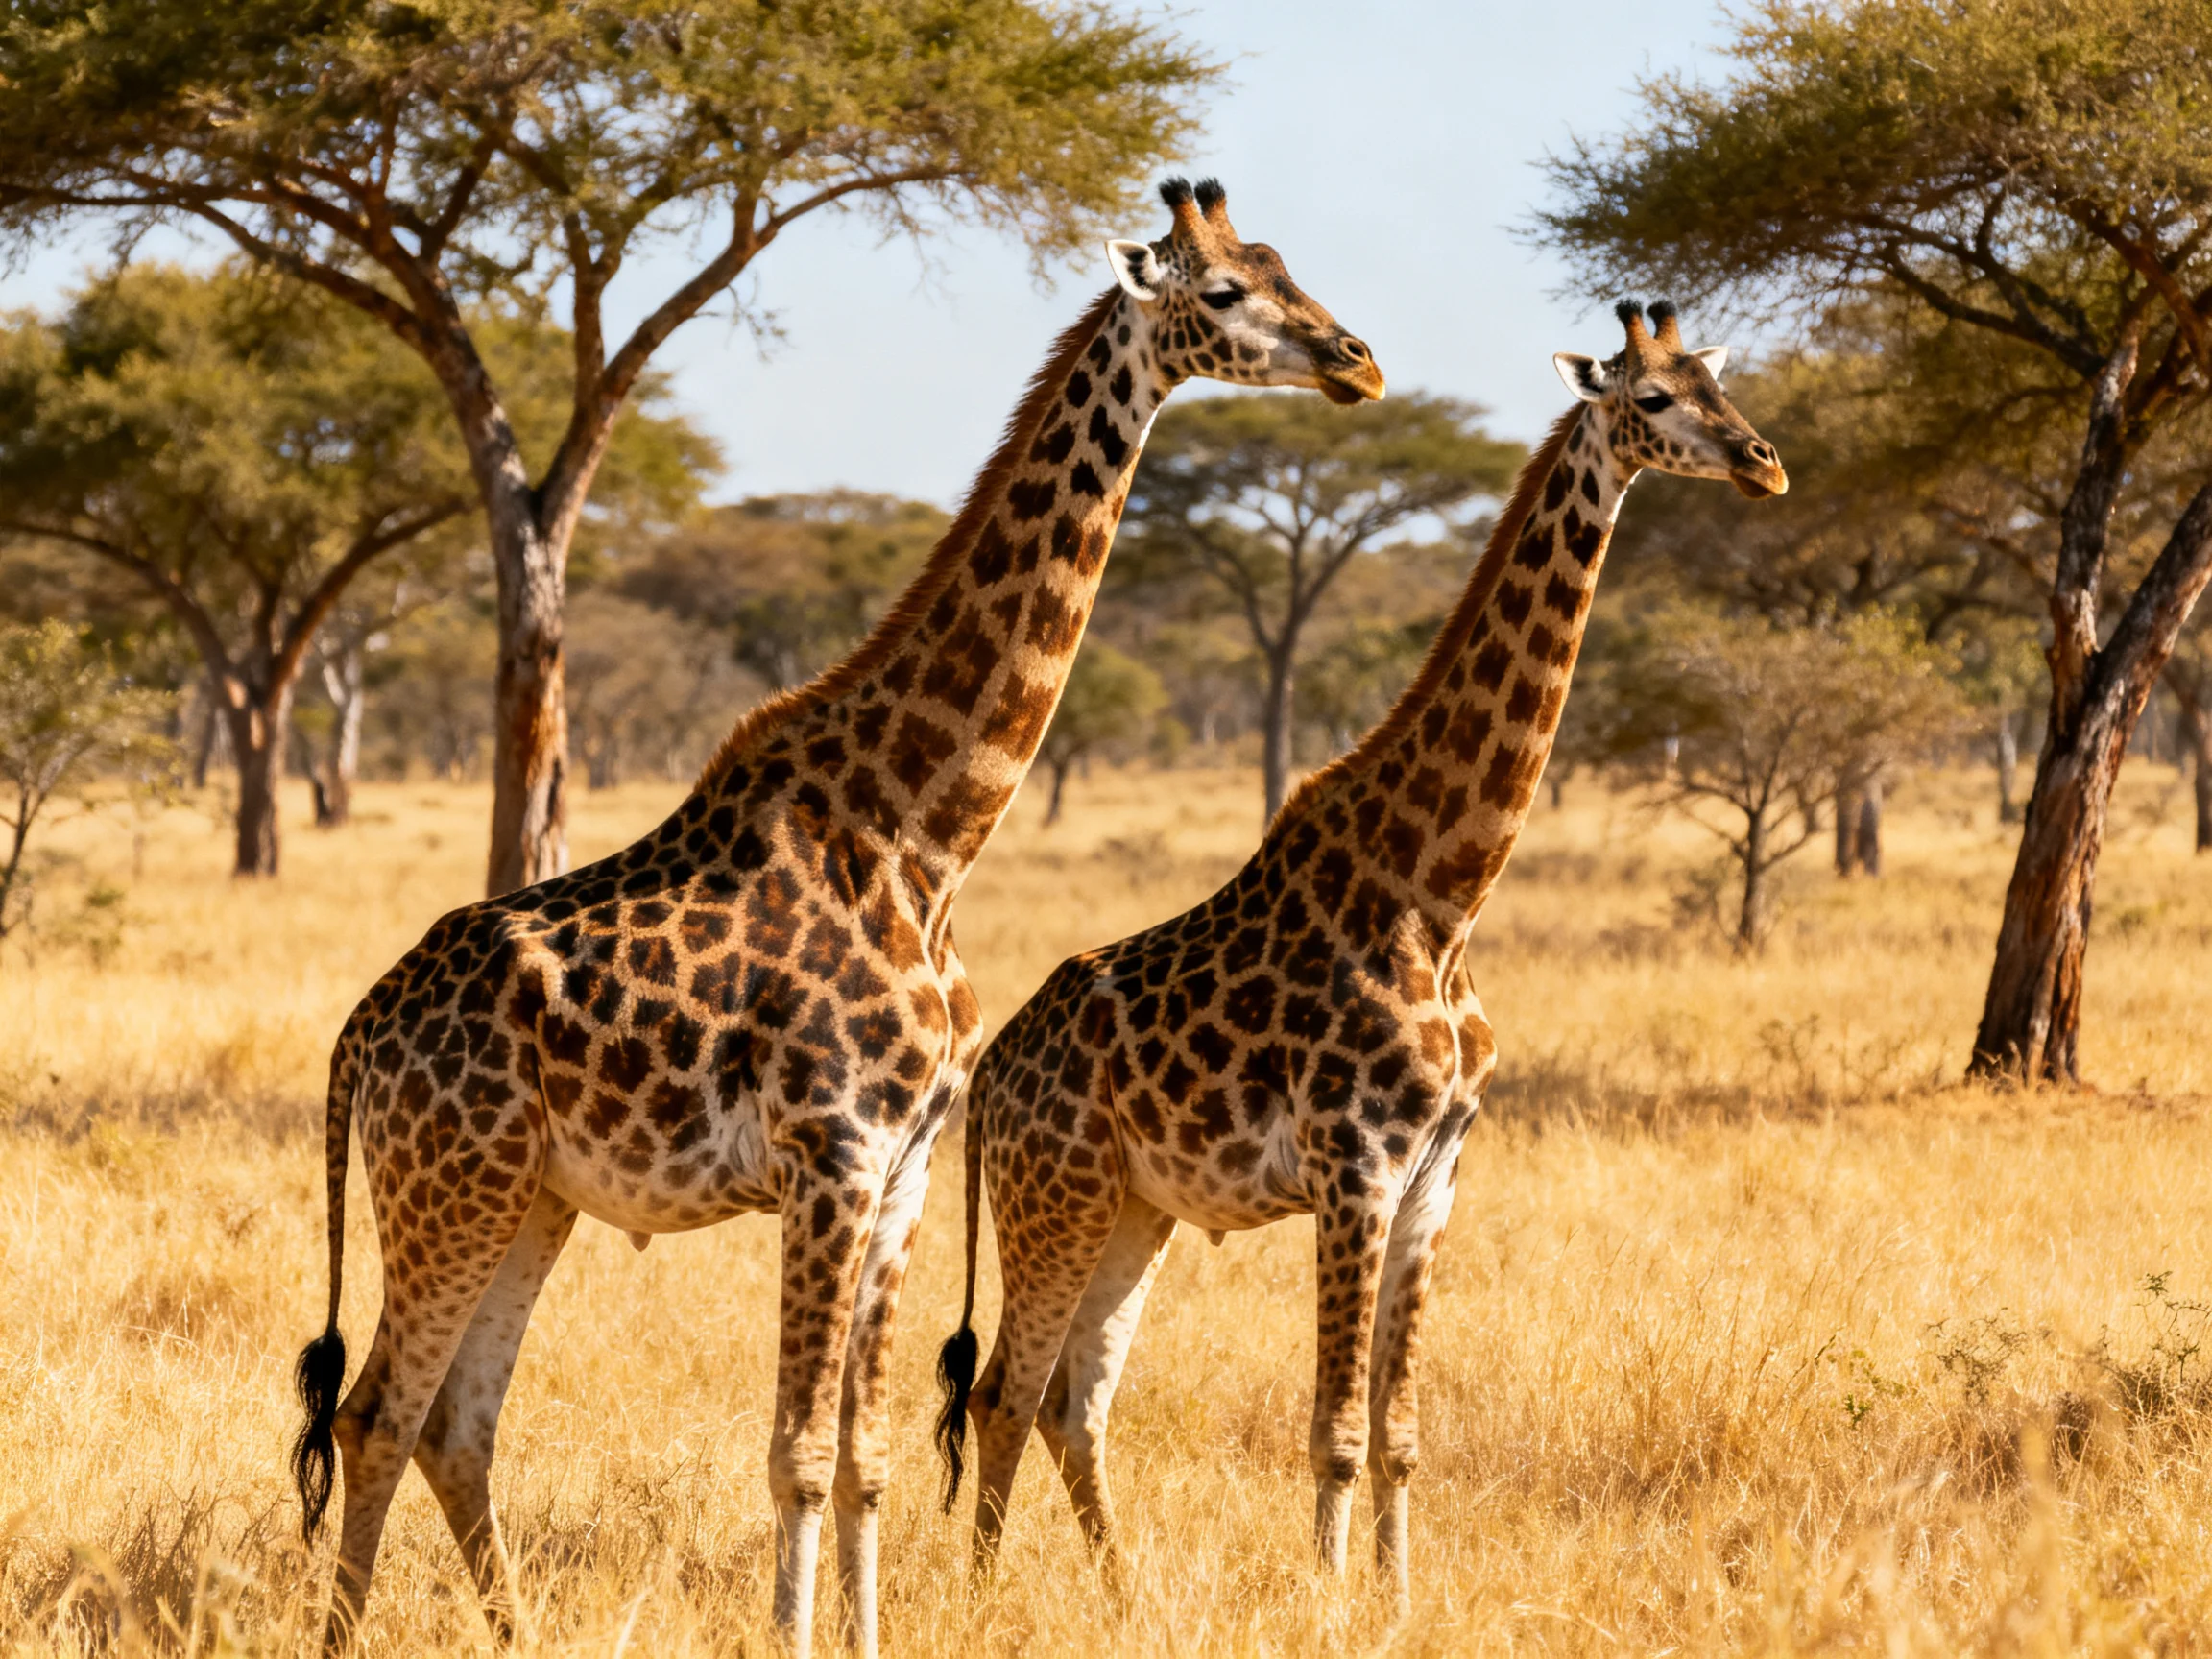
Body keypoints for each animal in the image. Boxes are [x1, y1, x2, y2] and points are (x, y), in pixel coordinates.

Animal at [285, 175, 1383, 1659]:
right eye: (1223, 292)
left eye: (1285, 264)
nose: (1357, 362)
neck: (924, 835)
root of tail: (359, 1034)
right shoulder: (835, 1151)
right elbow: (797, 1455)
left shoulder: (908, 1165)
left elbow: (863, 1458)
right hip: (450, 1184)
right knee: (375, 1414)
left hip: (531, 1198)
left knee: (456, 1423)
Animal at [934, 300, 1786, 1607]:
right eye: (1651, 399)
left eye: (1714, 384)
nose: (1764, 463)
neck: (1442, 893)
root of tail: (990, 1081)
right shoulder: (1356, 1168)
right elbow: (1333, 1427)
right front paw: (1329, 1601)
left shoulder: (1437, 1175)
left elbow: (1399, 1434)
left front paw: (1395, 1596)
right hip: (1056, 1197)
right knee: (1004, 1393)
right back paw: (981, 1596)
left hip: (1135, 1209)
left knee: (1076, 1402)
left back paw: (1122, 1589)